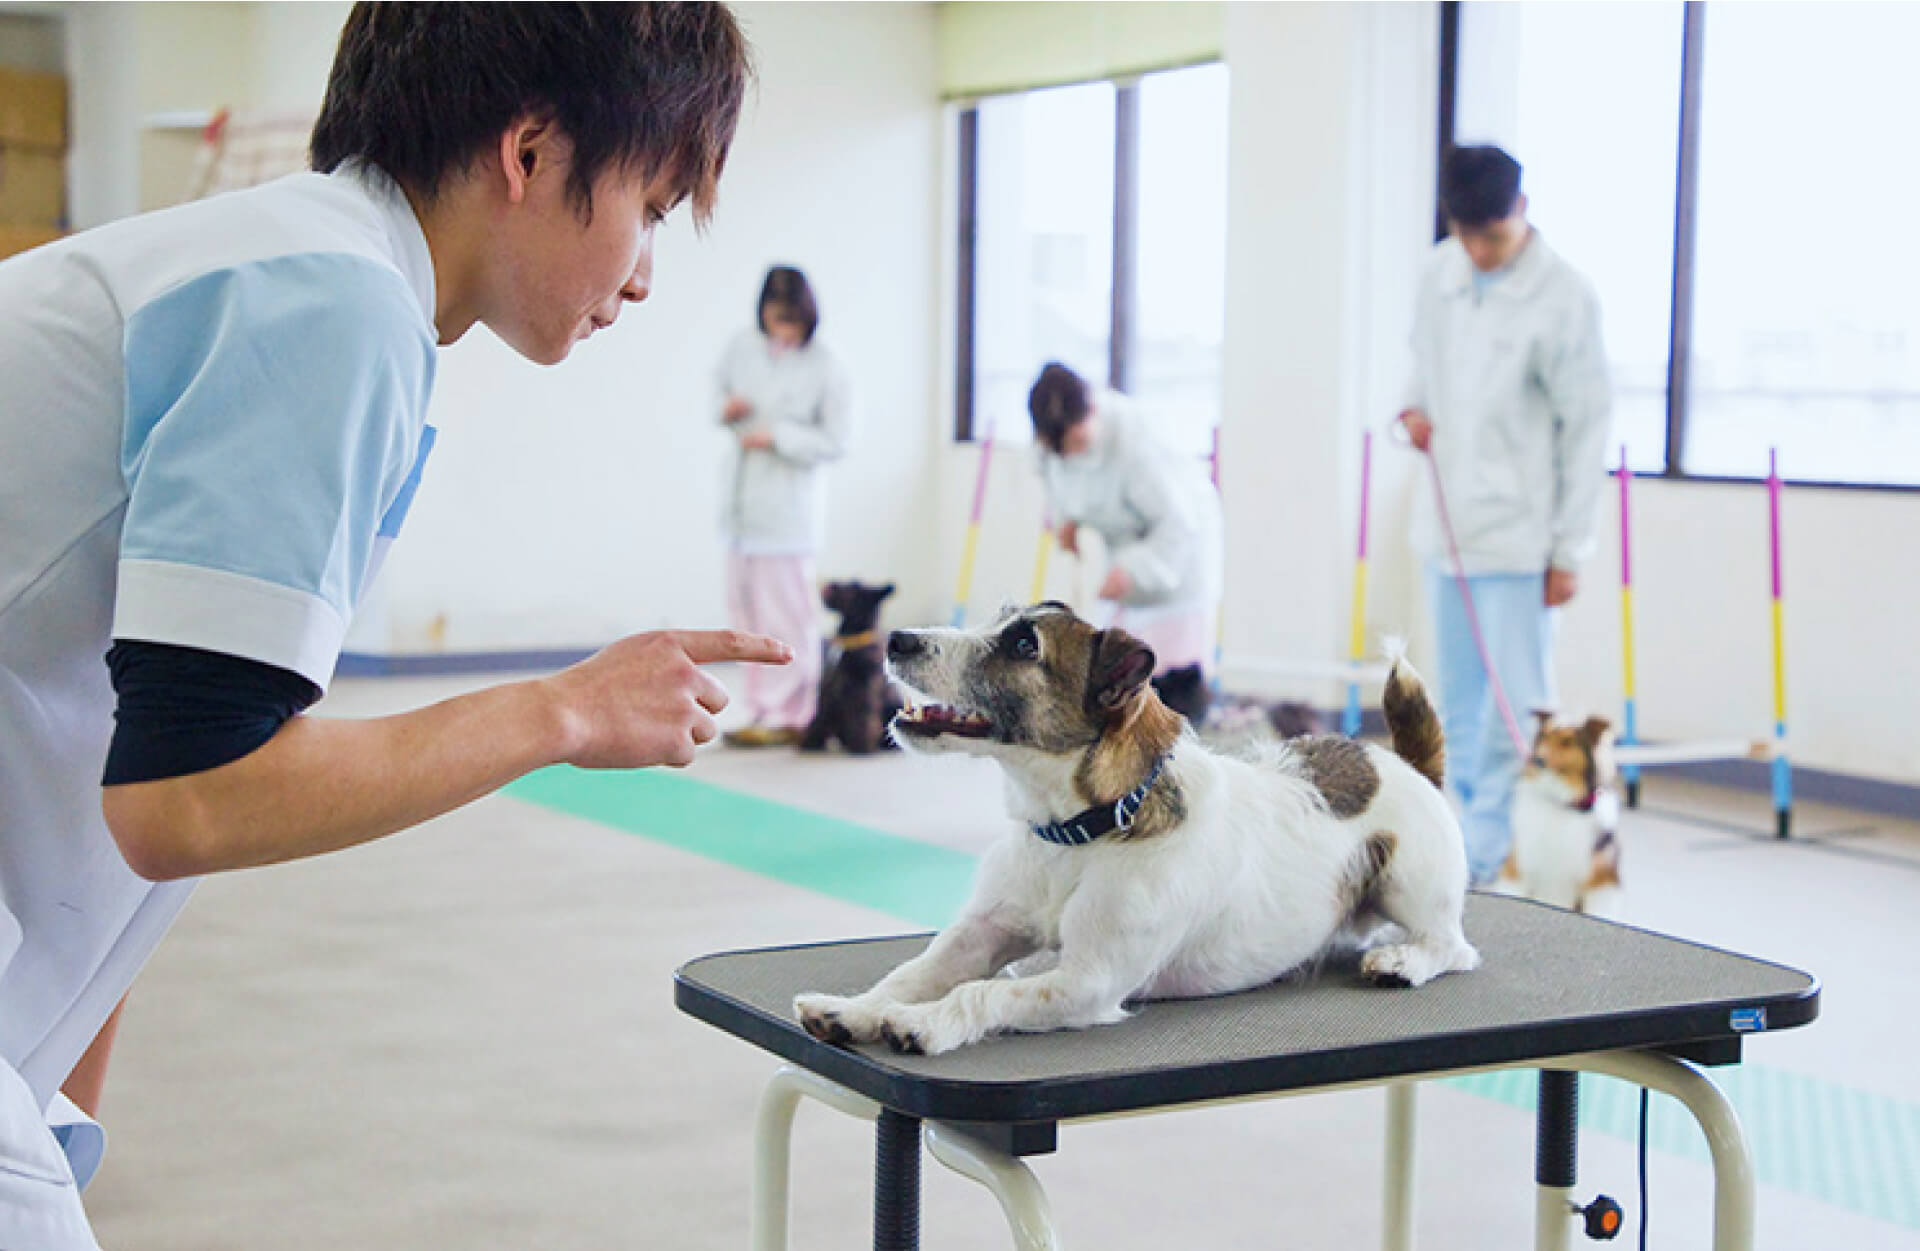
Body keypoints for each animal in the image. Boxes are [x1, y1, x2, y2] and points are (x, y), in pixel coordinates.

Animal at [787, 606, 1474, 1059]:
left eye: (1022, 644)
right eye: (1000, 619)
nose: (897, 638)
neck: (1080, 831)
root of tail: (1406, 763)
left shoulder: (1085, 983)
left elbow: (978, 994)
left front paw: (923, 1023)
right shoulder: (977, 937)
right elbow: (910, 975)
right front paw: (855, 1010)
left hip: (1409, 886)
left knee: (1453, 948)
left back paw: (1402, 961)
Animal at [802, 583, 906, 752]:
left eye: (852, 587)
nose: (832, 584)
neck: (850, 640)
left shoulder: (862, 692)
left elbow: (861, 719)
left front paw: (861, 745)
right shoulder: (827, 694)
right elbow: (819, 718)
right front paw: (811, 741)